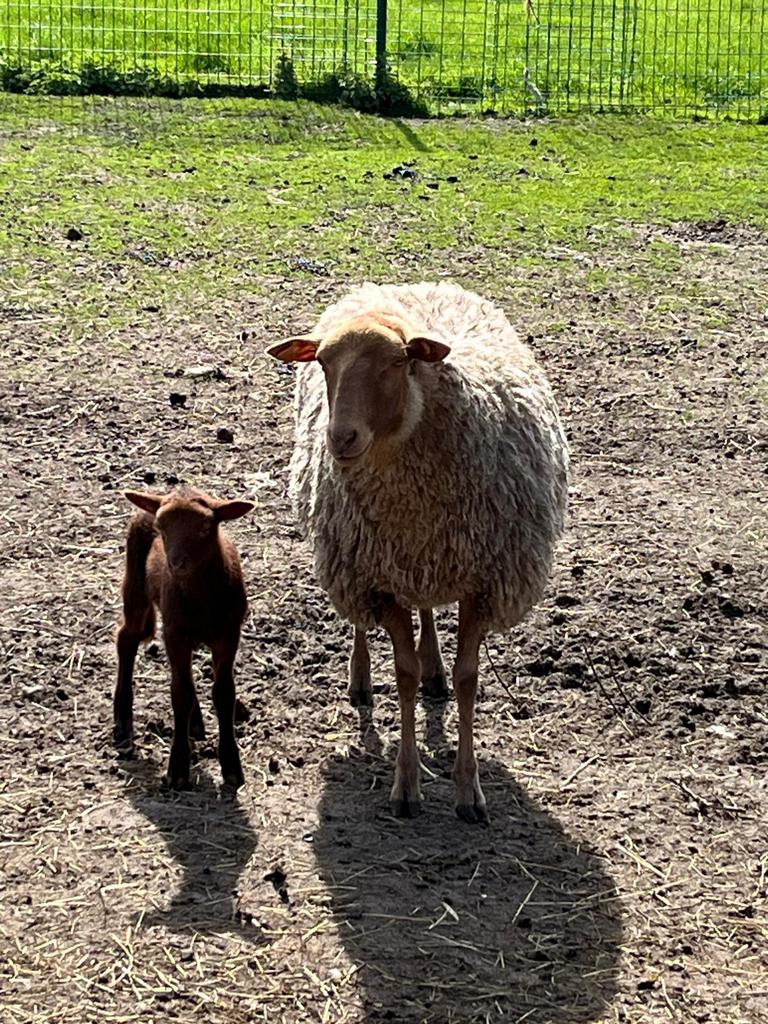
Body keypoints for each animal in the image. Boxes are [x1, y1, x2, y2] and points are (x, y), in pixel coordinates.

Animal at [114, 486, 254, 790]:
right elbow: (180, 694)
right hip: (136, 585)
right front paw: (178, 768)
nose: (176, 564)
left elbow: (223, 693)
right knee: (127, 638)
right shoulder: (175, 633)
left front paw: (232, 767)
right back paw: (122, 718)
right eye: (161, 527)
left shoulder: (228, 634)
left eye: (205, 527)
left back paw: (195, 724)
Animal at [267, 281, 569, 824]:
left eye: (397, 361)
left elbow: (469, 680)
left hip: (425, 562)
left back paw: (435, 669)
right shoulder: (378, 581)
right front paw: (406, 785)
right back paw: (361, 678)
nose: (340, 438)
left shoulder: (482, 583)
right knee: (363, 625)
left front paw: (469, 791)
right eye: (322, 362)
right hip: (356, 559)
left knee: (427, 610)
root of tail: (394, 286)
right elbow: (402, 677)